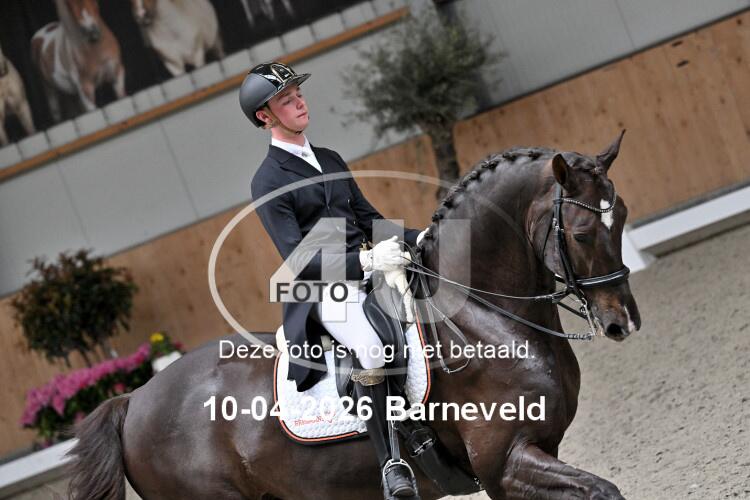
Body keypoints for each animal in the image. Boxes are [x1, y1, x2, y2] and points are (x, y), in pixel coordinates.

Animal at [66, 131, 641, 499]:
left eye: (623, 217)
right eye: (582, 235)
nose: (623, 323)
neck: (484, 319)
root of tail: (134, 400)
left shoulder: (539, 450)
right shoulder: (505, 465)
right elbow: (604, 491)